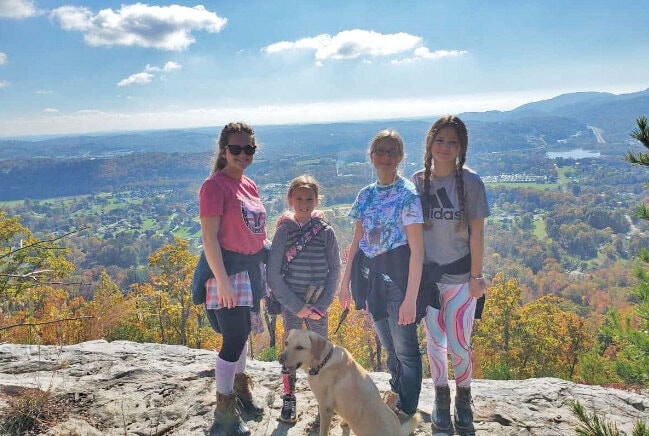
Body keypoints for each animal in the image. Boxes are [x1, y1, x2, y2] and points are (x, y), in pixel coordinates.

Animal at [276, 330, 418, 436]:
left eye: (300, 347)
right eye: (286, 343)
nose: (280, 358)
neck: (324, 361)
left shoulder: (325, 407)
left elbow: (323, 430)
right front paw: (345, 422)